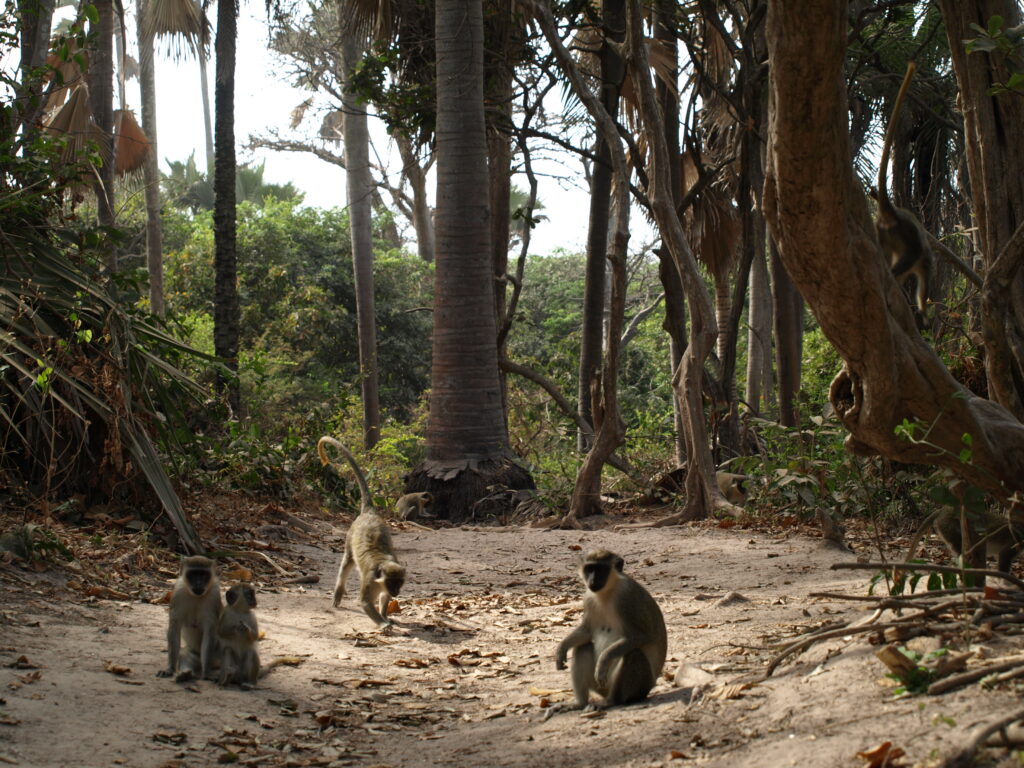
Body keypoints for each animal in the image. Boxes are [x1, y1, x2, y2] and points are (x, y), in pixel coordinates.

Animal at [317, 436, 405, 626]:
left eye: (399, 584)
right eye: (392, 584)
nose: (396, 592)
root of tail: (369, 513)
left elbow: (384, 598)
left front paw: (385, 616)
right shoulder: (370, 581)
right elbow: (365, 602)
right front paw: (383, 624)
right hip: (350, 536)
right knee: (347, 562)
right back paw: (339, 590)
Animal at [557, 548, 667, 708]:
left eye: (601, 569)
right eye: (589, 569)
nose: (592, 580)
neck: (607, 591)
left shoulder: (627, 596)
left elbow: (640, 636)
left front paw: (604, 660)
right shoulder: (588, 598)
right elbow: (587, 631)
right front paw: (562, 648)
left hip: (640, 687)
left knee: (634, 653)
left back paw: (612, 702)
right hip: (600, 687)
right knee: (582, 647)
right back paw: (580, 704)